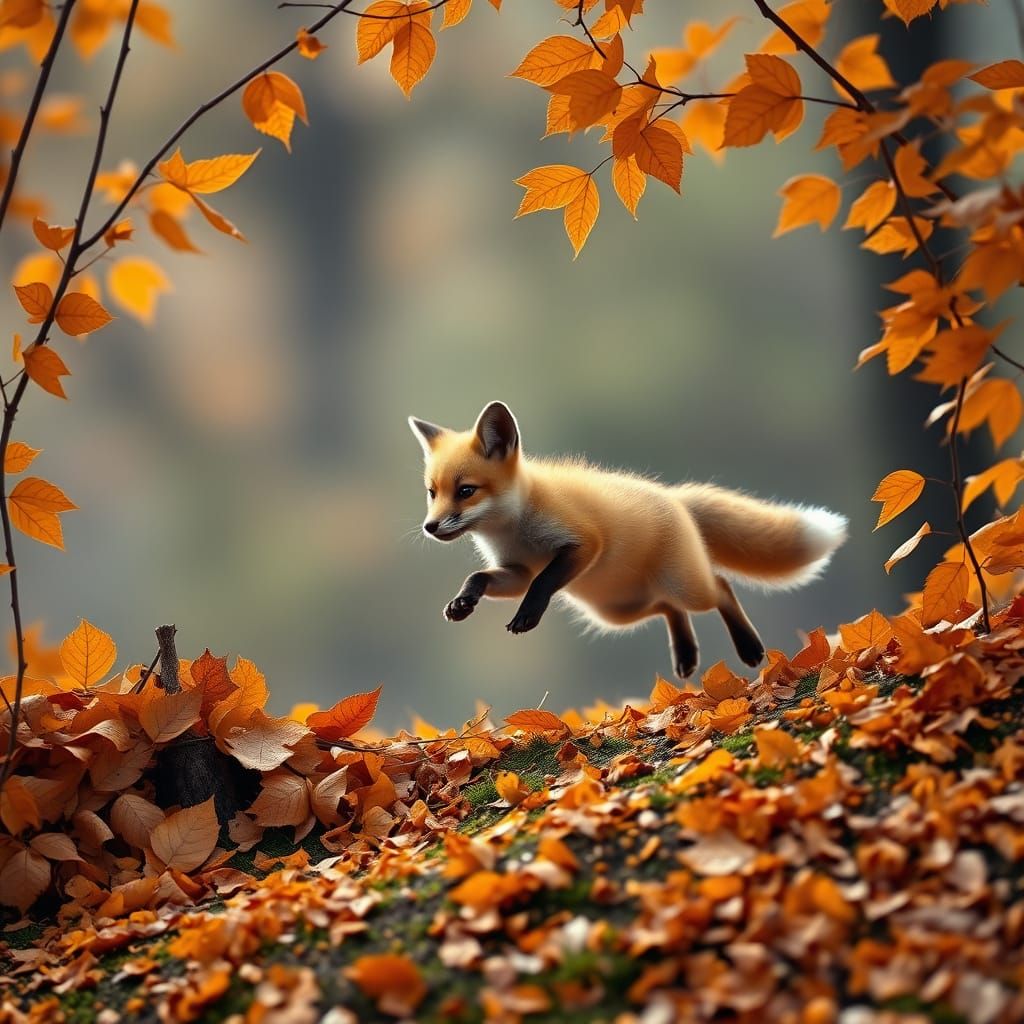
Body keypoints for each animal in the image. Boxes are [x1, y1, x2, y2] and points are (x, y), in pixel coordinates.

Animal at [408, 401, 848, 678]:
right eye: (432, 492)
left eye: (466, 491)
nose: (430, 526)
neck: (512, 528)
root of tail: (674, 497)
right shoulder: (515, 569)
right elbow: (481, 577)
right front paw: (463, 602)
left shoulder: (582, 543)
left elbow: (544, 581)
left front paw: (528, 614)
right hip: (617, 611)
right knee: (669, 608)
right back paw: (685, 655)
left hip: (681, 587)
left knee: (719, 587)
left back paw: (748, 647)